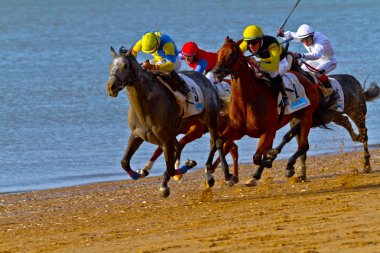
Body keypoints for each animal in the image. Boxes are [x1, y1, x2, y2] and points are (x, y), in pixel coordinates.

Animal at [104, 47, 235, 198]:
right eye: (110, 65)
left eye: (125, 66)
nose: (111, 87)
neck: (148, 105)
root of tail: (208, 82)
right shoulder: (137, 135)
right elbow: (124, 162)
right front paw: (139, 174)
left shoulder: (166, 139)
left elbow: (171, 167)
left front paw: (170, 180)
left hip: (210, 119)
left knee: (216, 142)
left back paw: (221, 175)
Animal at [212, 36, 320, 186]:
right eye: (218, 52)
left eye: (232, 54)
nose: (217, 72)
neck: (247, 101)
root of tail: (305, 77)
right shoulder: (236, 129)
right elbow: (220, 143)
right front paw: (228, 175)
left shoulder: (267, 130)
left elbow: (258, 157)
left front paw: (268, 161)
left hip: (306, 116)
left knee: (303, 146)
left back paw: (288, 167)